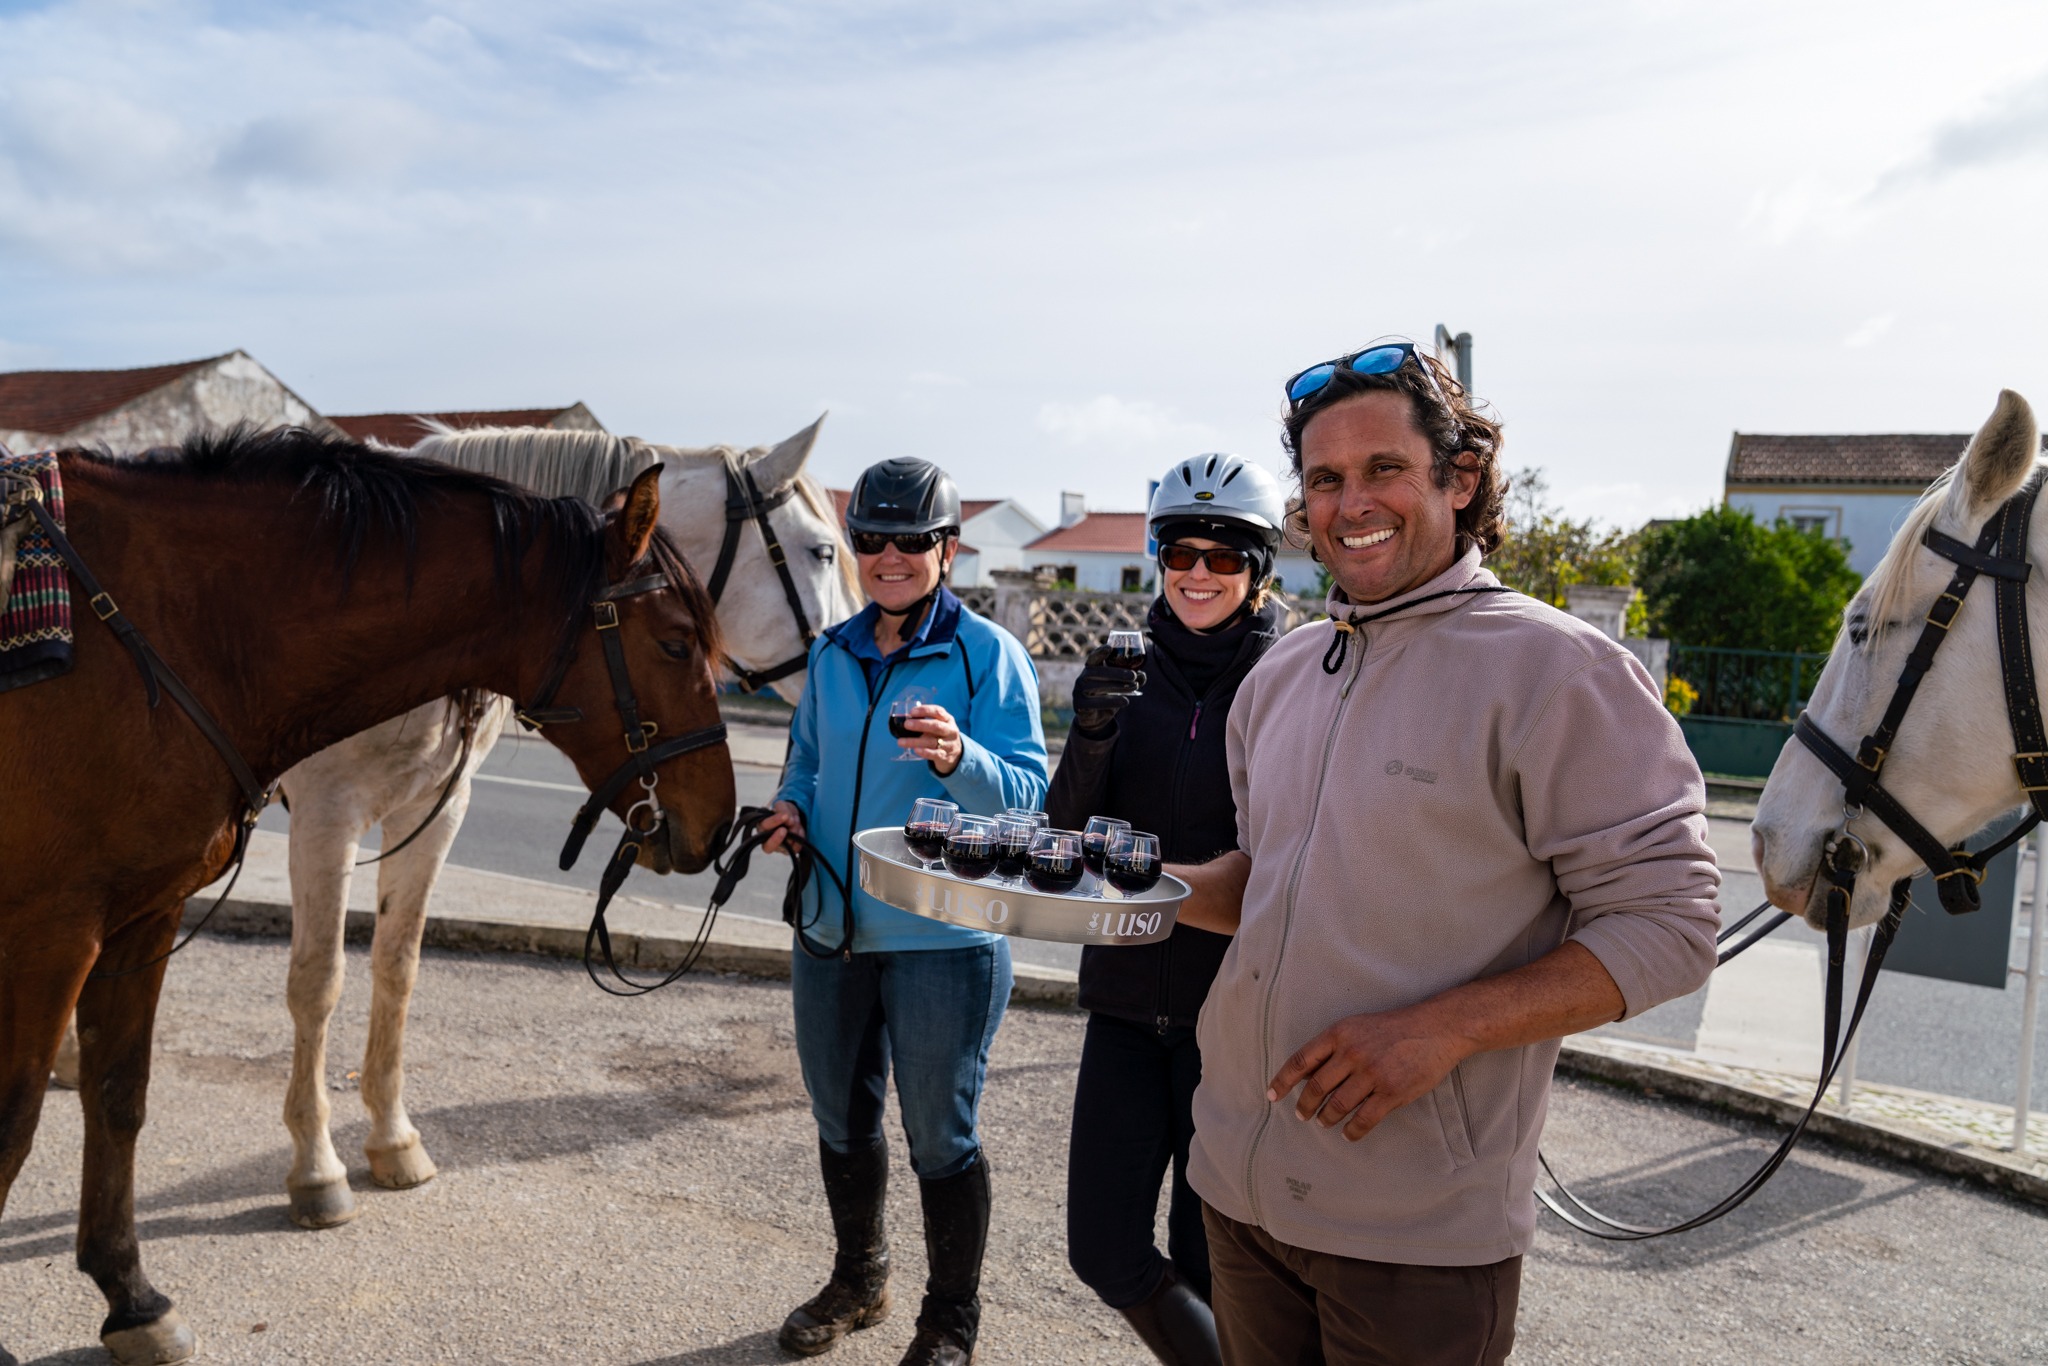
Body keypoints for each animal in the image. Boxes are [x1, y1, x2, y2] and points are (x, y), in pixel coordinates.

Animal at [0, 427, 738, 1366]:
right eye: (678, 642)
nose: (720, 823)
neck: (177, 626)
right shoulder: (69, 920)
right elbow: (314, 985)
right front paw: (317, 1172)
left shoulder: (155, 909)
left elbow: (128, 1092)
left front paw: (133, 1297)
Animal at [236, 419, 859, 1230]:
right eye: (821, 550)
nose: (860, 650)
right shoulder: (325, 816)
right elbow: (318, 980)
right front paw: (316, 1167)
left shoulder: (434, 813)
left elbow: (396, 968)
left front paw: (393, 1140)